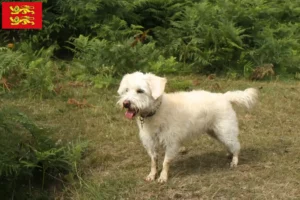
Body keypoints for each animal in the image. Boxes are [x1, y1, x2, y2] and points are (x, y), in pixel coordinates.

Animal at [117, 72, 258, 183]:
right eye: (126, 90)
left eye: (140, 91)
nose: (126, 103)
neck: (156, 111)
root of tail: (224, 96)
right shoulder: (150, 143)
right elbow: (153, 161)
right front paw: (152, 175)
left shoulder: (171, 143)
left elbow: (165, 162)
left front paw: (163, 177)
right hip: (216, 132)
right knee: (230, 144)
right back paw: (229, 154)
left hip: (225, 131)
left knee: (236, 145)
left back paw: (234, 161)